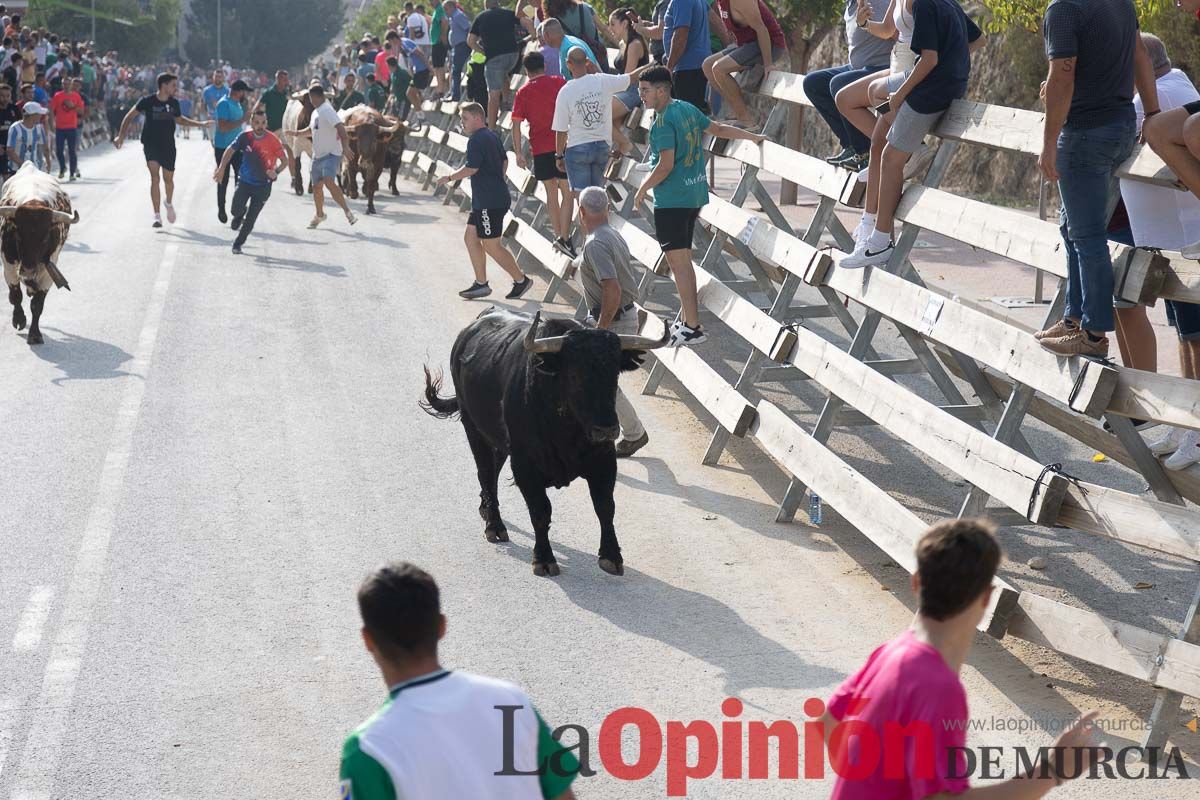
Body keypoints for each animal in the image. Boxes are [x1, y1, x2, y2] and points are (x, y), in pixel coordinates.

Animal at [422, 307, 667, 575]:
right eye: (574, 374)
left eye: (615, 373)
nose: (607, 428)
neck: (566, 430)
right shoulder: (525, 465)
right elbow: (541, 511)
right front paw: (544, 559)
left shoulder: (604, 460)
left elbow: (605, 506)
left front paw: (611, 556)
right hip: (473, 427)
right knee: (485, 472)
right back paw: (494, 525)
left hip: (498, 439)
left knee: (493, 472)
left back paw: (486, 509)